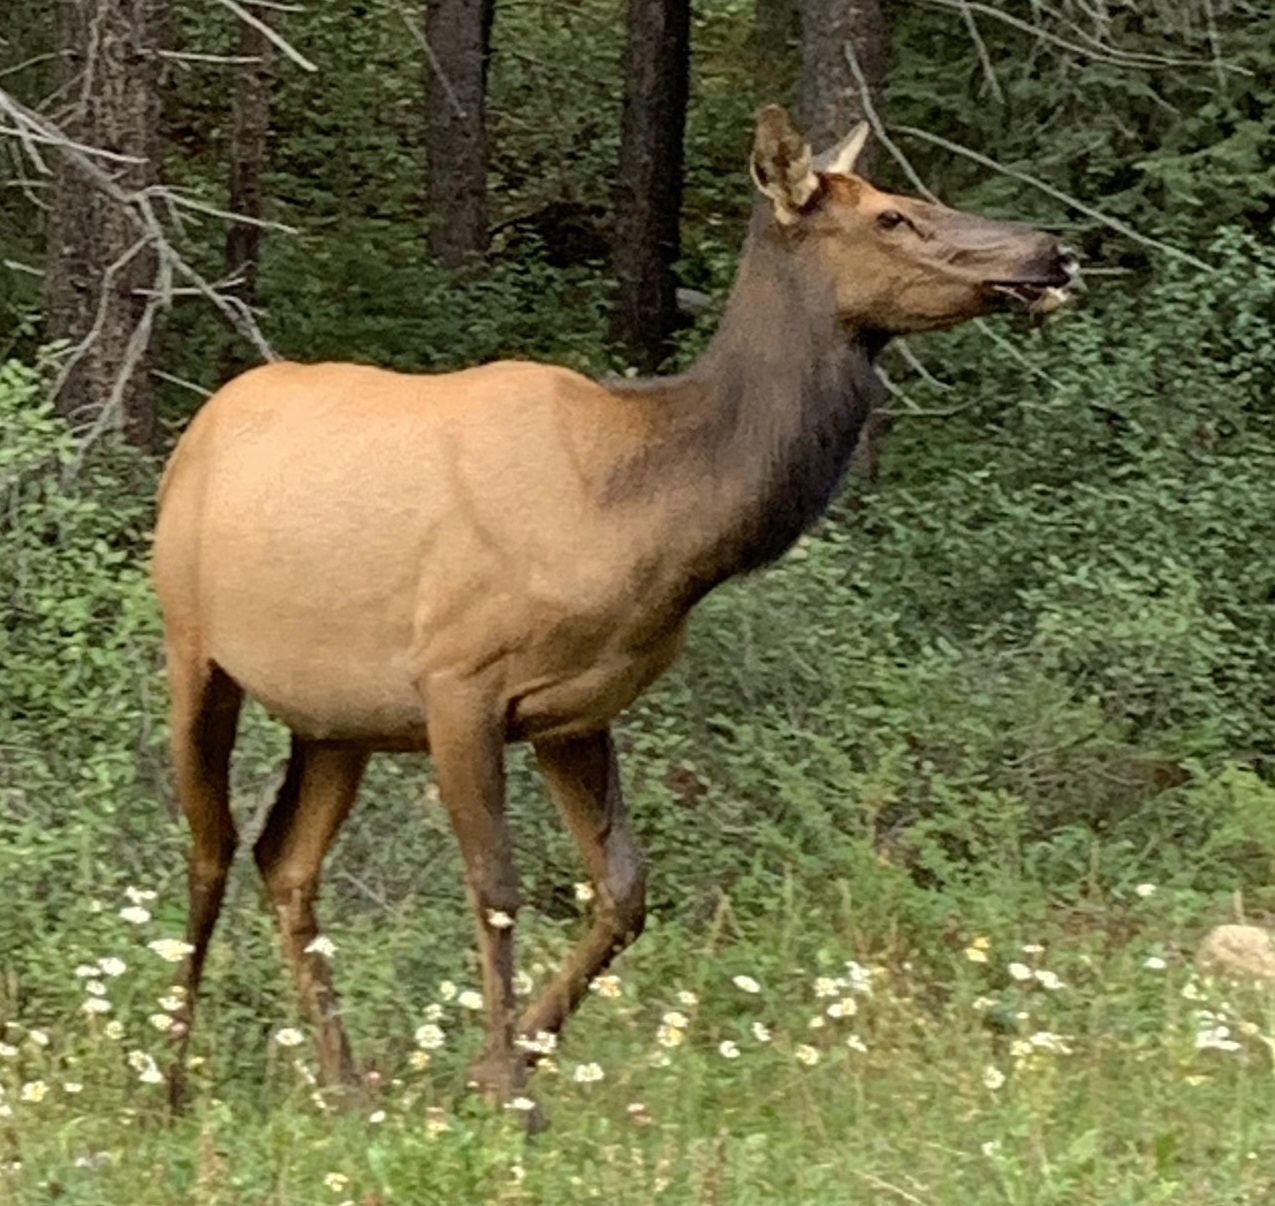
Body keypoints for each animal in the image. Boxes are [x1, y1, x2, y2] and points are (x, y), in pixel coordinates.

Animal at [152, 105, 1078, 1111]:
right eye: (891, 216)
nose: (1052, 251)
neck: (639, 513)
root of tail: (200, 427)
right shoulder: (456, 680)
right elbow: (497, 887)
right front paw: (507, 1092)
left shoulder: (575, 709)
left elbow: (625, 892)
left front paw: (503, 1063)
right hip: (194, 652)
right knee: (210, 847)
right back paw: (169, 1079)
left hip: (335, 716)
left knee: (284, 859)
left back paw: (344, 1080)